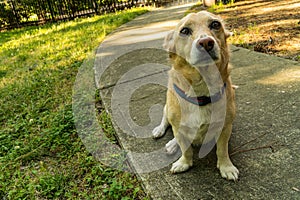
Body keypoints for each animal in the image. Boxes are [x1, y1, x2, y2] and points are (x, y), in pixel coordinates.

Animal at [152, 10, 239, 181]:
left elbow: (222, 150)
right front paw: (184, 163)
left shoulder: (225, 128)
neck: (201, 91)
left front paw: (226, 167)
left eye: (215, 24)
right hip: (167, 110)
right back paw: (164, 135)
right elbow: (186, 149)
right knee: (166, 122)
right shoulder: (179, 129)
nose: (206, 42)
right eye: (184, 31)